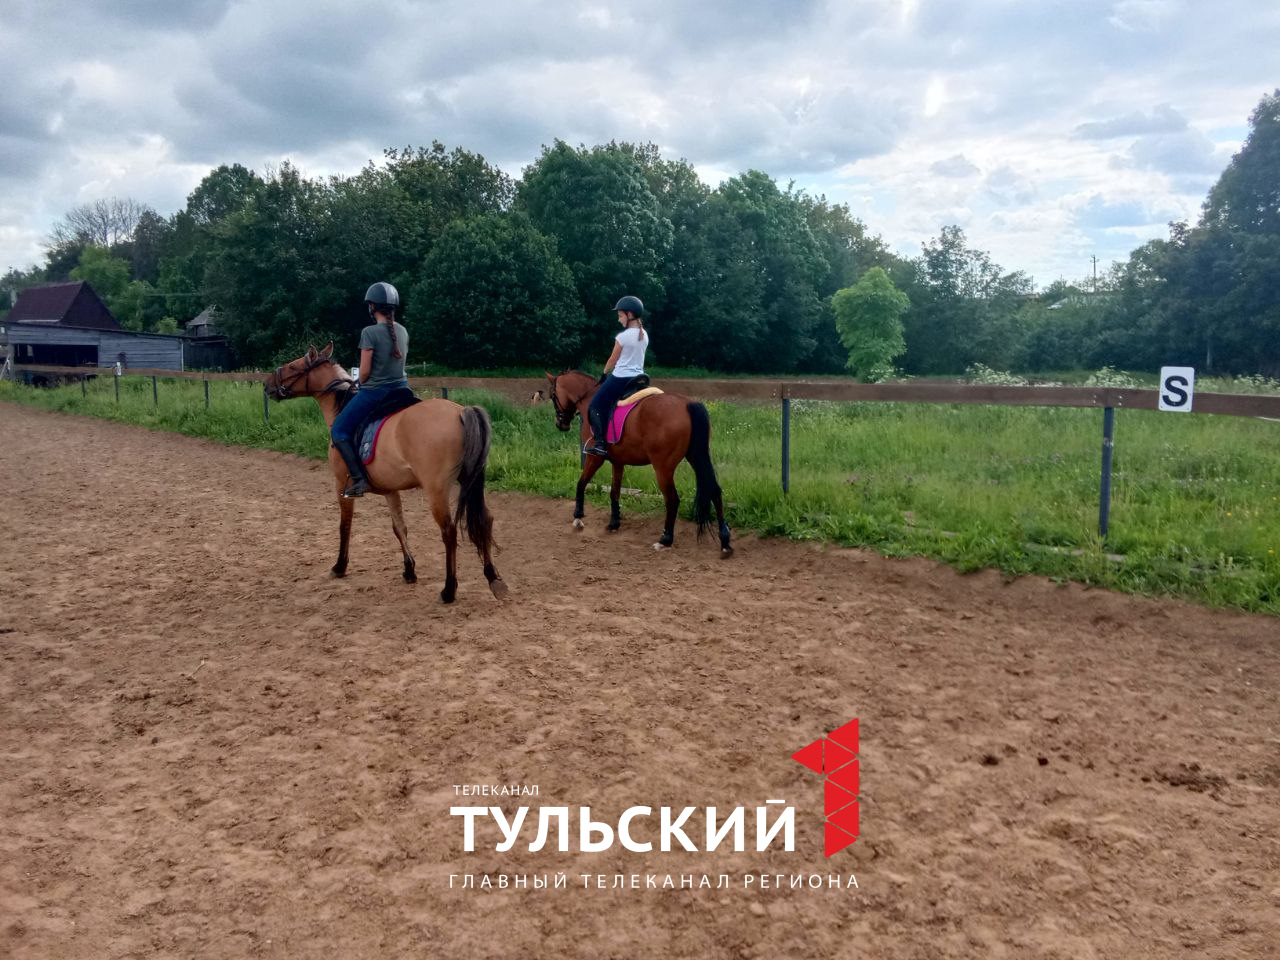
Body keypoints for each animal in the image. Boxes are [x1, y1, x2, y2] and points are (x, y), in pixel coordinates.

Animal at [264, 343, 504, 604]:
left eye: (293, 366)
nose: (267, 384)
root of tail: (461, 412)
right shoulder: (391, 490)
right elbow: (399, 528)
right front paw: (409, 570)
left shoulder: (341, 485)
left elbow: (345, 525)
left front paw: (340, 566)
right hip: (472, 481)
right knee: (485, 520)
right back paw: (493, 579)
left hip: (436, 489)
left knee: (448, 532)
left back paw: (449, 590)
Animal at [545, 371, 737, 560]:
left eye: (552, 395)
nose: (561, 424)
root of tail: (687, 403)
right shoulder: (618, 462)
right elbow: (614, 492)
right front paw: (614, 523)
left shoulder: (594, 457)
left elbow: (581, 483)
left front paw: (578, 518)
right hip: (697, 457)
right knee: (715, 491)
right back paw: (725, 542)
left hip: (663, 467)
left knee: (673, 499)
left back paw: (665, 539)